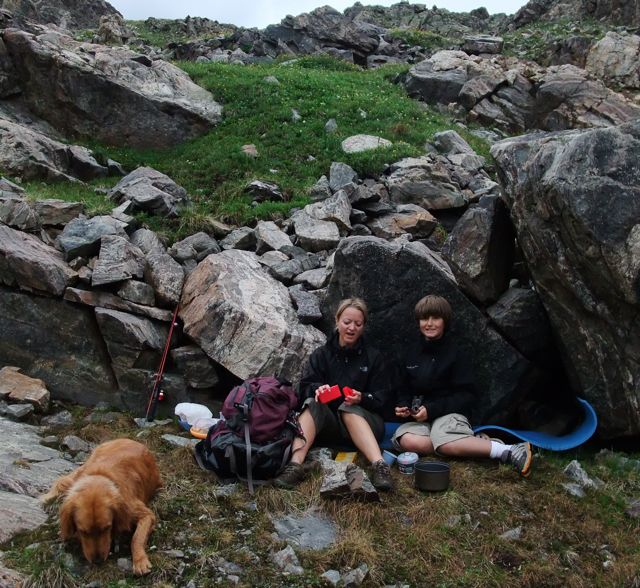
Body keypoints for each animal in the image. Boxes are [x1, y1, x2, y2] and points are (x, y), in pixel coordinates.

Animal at [42, 440, 162, 576]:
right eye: (83, 531)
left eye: (107, 528)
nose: (97, 561)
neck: (100, 476)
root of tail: (130, 440)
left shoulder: (143, 513)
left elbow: (137, 537)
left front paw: (140, 561)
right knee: (62, 480)